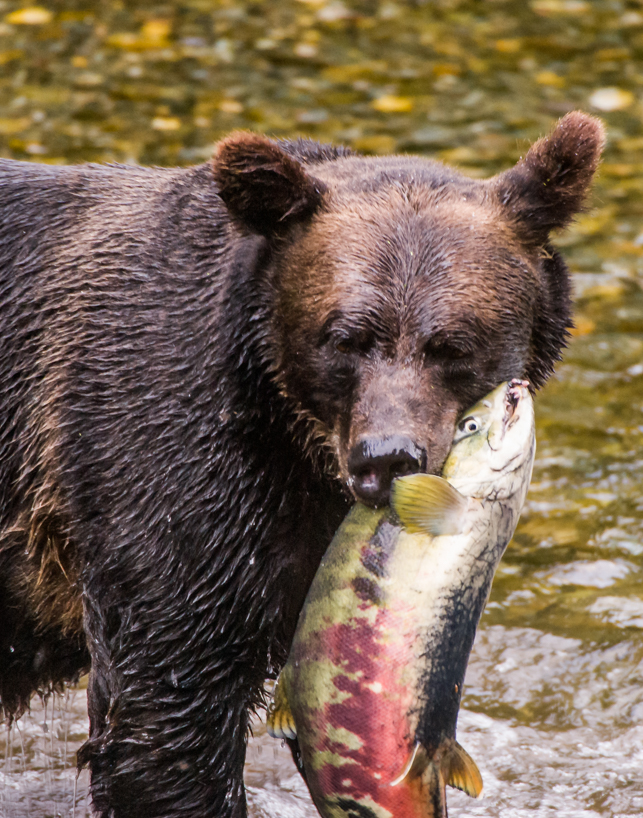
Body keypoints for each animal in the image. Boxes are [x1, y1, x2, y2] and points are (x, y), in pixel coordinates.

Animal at [0, 111, 604, 818]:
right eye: (344, 338)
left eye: (453, 344)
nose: (387, 457)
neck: (295, 442)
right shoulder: (158, 455)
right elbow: (168, 711)